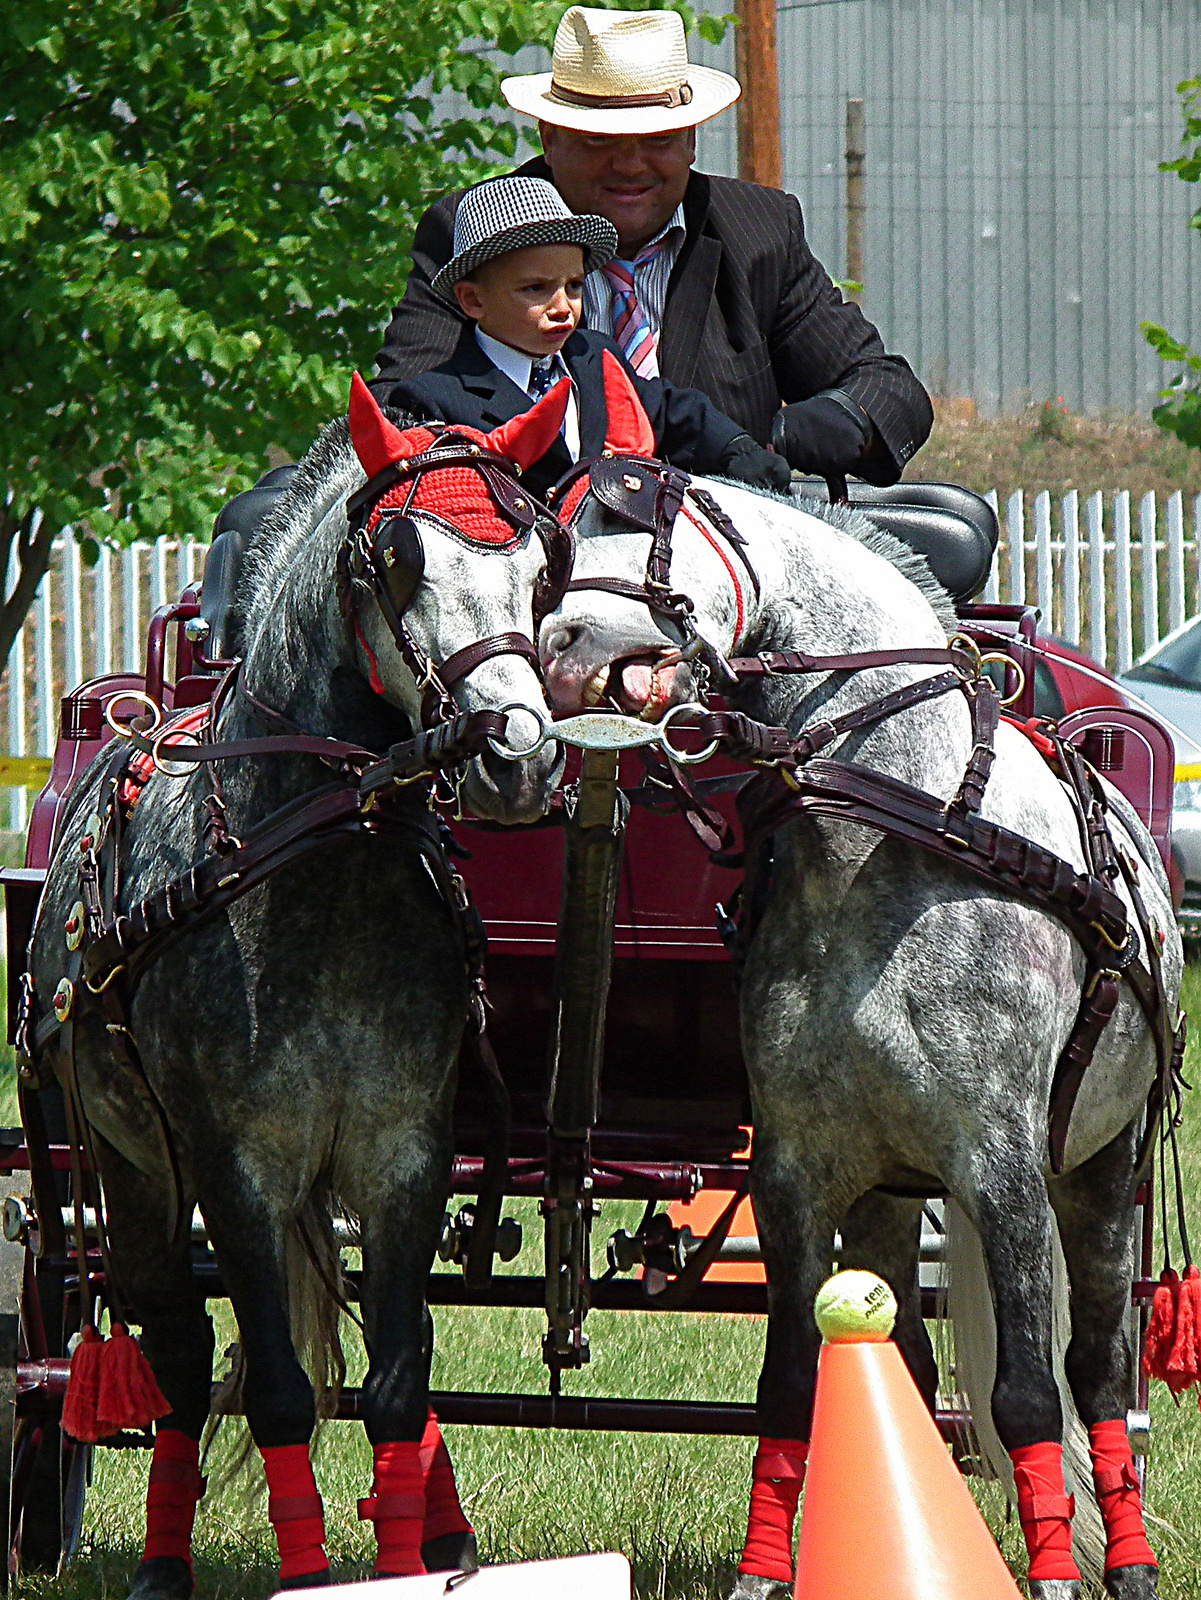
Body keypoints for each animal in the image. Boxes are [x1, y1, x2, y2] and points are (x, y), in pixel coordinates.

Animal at [28, 390, 562, 1600]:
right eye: (397, 561)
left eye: (542, 564)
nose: (518, 756)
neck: (321, 871)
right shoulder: (238, 1165)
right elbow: (271, 1385)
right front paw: (312, 1572)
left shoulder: (402, 1154)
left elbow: (398, 1382)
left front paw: (411, 1558)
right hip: (125, 1160)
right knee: (173, 1342)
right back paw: (160, 1560)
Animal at [546, 467, 1183, 1600]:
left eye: (634, 526)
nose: (552, 640)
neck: (895, 823)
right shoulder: (797, 1172)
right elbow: (793, 1382)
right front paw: (763, 1576)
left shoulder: (1002, 1167)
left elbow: (1027, 1396)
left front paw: (1053, 1574)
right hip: (890, 1190)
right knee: (912, 1367)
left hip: (1103, 1166)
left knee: (1098, 1373)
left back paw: (1129, 1562)